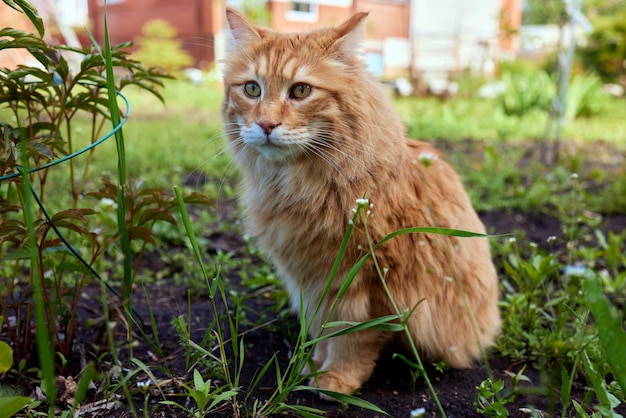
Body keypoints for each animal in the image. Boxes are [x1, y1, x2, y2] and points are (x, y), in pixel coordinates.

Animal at [219, 8, 498, 396]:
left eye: (301, 90)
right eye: (252, 89)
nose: (265, 124)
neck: (302, 185)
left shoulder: (366, 283)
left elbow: (351, 338)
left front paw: (335, 380)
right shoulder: (312, 283)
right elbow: (321, 332)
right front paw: (312, 367)